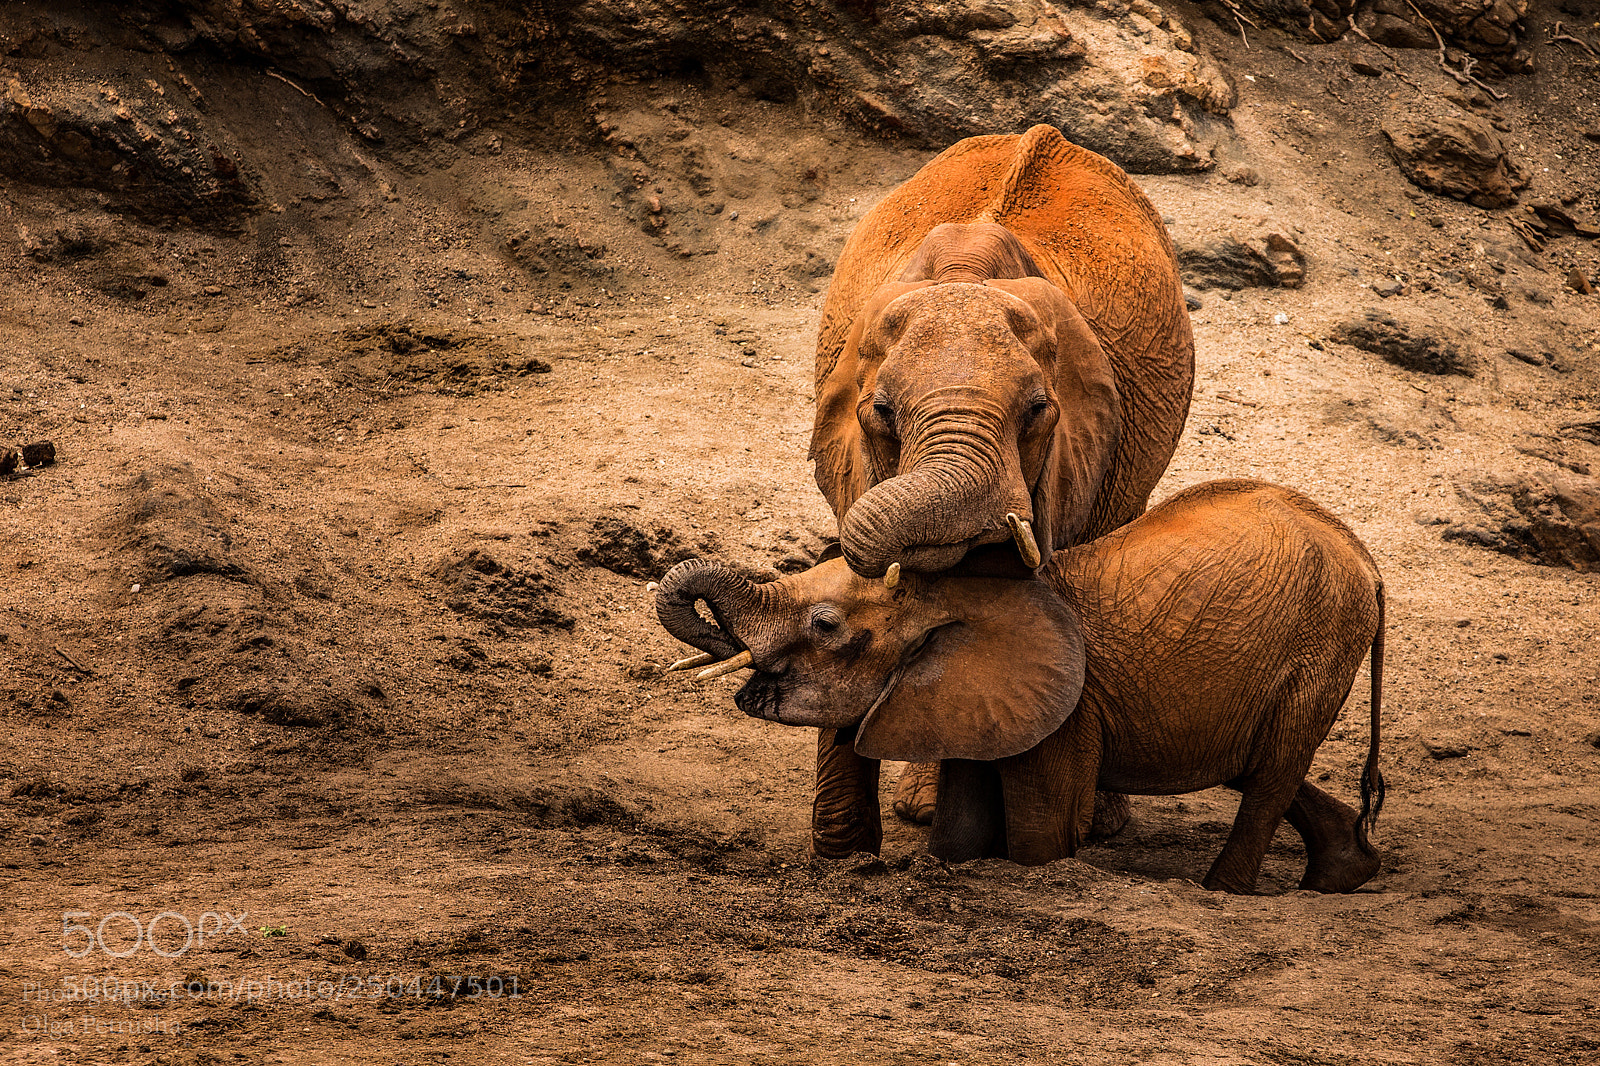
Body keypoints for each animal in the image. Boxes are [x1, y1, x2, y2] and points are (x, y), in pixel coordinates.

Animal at [656, 480, 1386, 894]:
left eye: (827, 624)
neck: (961, 591)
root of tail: (1364, 557)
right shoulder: (963, 697)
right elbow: (961, 827)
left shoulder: (1068, 708)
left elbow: (1041, 834)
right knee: (1256, 762)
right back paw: (1347, 874)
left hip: (1323, 646)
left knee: (1270, 773)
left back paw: (1223, 891)